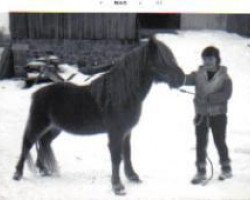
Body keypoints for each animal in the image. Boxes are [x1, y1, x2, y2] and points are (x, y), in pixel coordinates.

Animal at [13, 36, 186, 195]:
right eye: (163, 60)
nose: (182, 78)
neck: (122, 94)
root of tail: (37, 93)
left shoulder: (126, 133)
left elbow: (127, 154)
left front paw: (132, 177)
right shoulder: (116, 133)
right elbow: (116, 158)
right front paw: (118, 187)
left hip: (55, 128)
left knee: (43, 142)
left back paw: (44, 170)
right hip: (38, 124)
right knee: (27, 144)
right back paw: (18, 174)